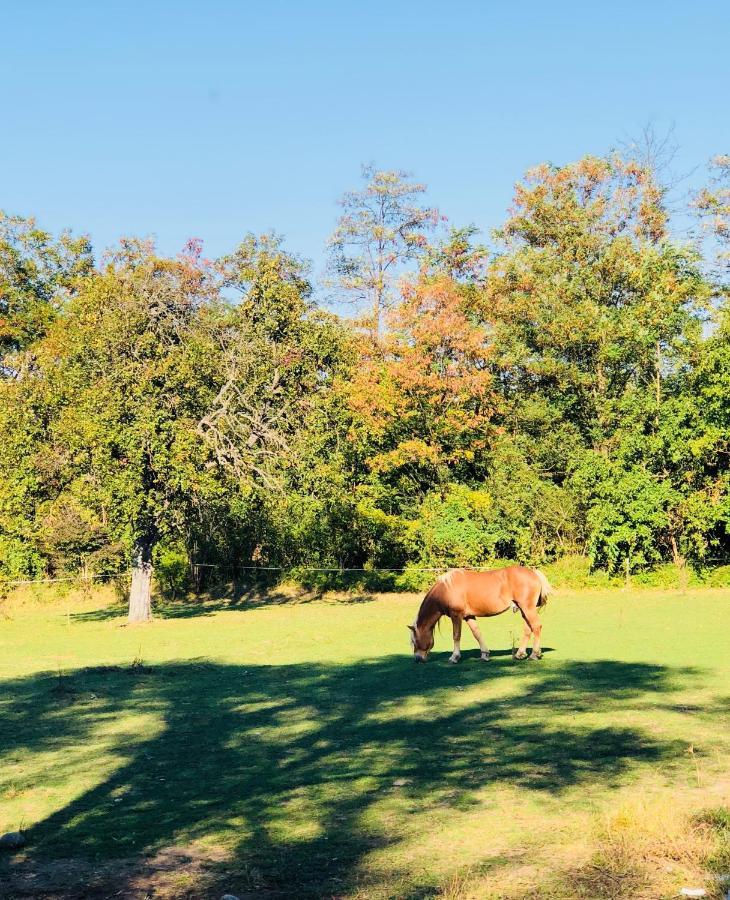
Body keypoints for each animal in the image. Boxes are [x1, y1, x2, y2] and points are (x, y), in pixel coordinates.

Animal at [406, 568, 556, 660]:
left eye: (415, 640)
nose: (417, 659)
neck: (446, 590)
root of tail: (534, 573)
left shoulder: (456, 616)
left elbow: (456, 636)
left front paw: (455, 657)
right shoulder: (468, 616)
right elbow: (477, 634)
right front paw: (485, 654)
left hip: (527, 608)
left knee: (536, 626)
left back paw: (534, 654)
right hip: (524, 609)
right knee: (528, 629)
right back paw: (521, 653)